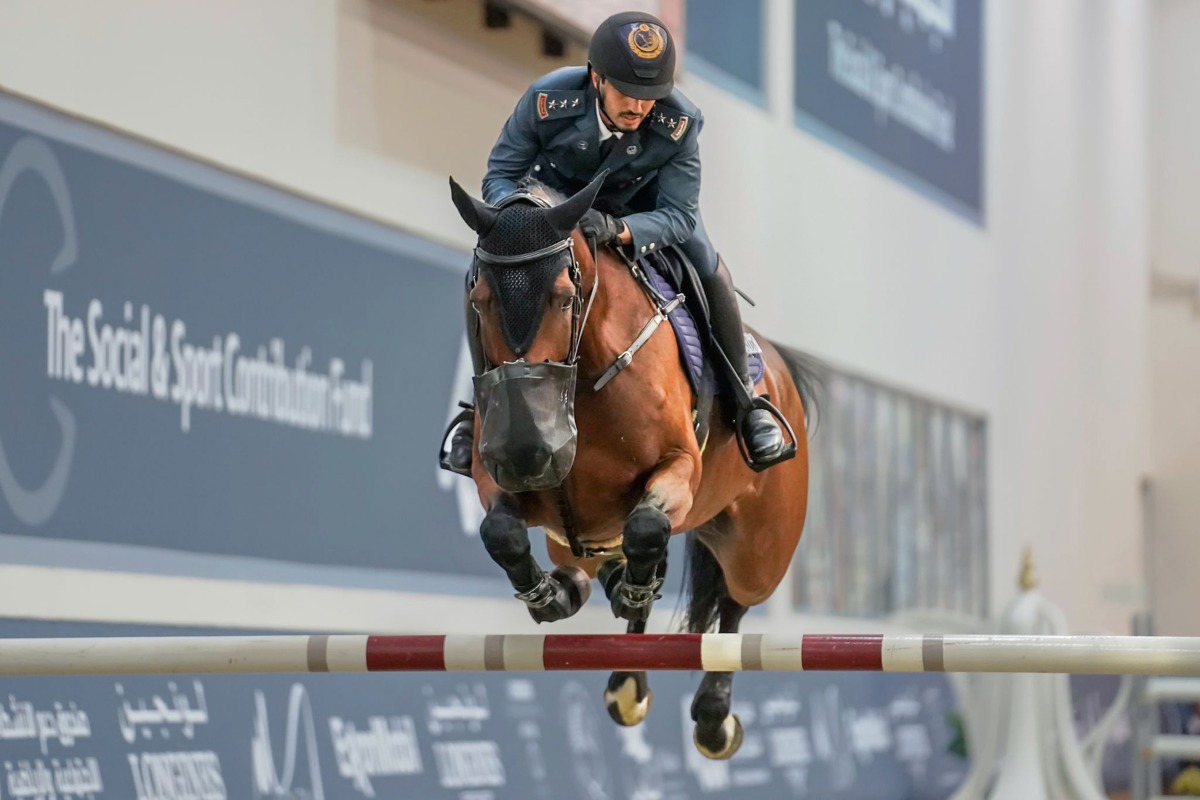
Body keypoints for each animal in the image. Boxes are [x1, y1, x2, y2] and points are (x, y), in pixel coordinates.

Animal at [446, 172, 820, 762]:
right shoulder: (497, 479)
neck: (581, 378)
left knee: (733, 603)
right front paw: (547, 597)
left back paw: (712, 716)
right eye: (478, 300)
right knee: (597, 560)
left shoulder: (678, 469)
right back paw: (607, 639)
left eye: (564, 297)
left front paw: (631, 592)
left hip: (760, 548)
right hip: (574, 534)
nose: (529, 452)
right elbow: (501, 531)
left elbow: (646, 527)